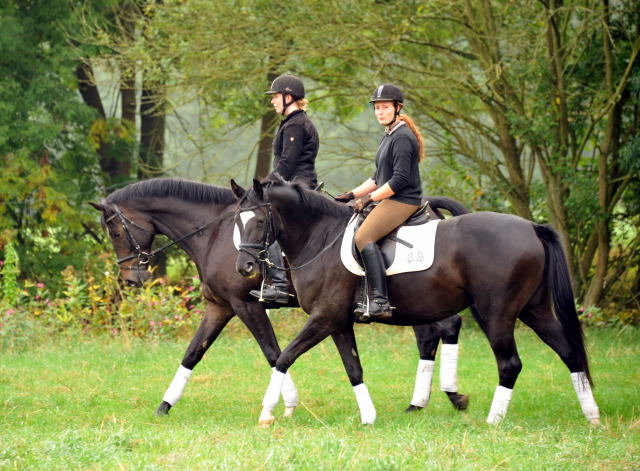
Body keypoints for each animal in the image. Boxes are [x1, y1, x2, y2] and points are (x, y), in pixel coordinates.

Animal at [90, 179, 470, 418]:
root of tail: (429, 209)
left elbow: (274, 353)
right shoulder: (220, 307)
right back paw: (425, 402)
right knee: (434, 333)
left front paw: (286, 404)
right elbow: (192, 354)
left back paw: (449, 396)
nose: (131, 278)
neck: (213, 233)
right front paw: (164, 405)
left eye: (115, 231)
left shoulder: (246, 305)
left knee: (445, 327)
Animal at [234, 178, 600, 428]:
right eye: (236, 222)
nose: (245, 267)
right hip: (534, 310)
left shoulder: (324, 318)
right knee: (569, 353)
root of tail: (532, 227)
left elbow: (284, 356)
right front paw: (369, 416)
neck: (319, 239)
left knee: (509, 363)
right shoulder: (338, 322)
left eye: (258, 221)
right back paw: (592, 416)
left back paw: (492, 421)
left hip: (497, 314)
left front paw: (267, 412)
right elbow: (353, 368)